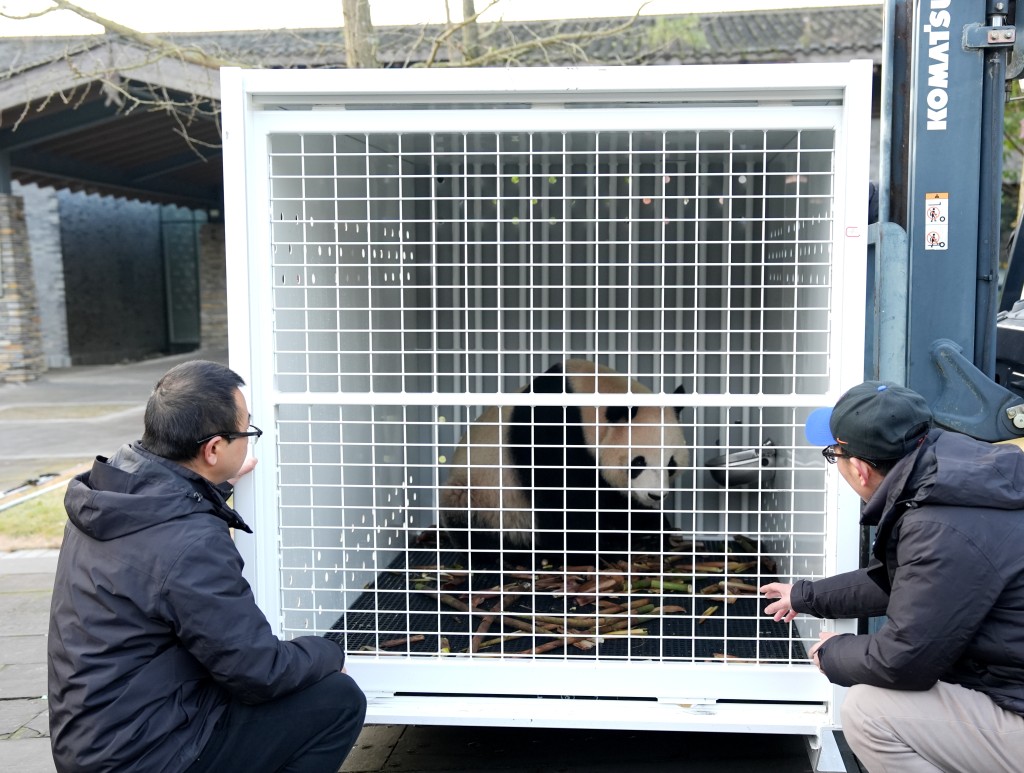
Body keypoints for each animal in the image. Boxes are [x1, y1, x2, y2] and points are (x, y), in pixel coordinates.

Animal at [438, 360, 688, 565]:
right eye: (638, 463)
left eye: (671, 464)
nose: (656, 496)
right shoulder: (550, 432)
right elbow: (564, 500)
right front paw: (600, 550)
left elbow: (612, 499)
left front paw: (653, 530)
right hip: (482, 497)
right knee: (471, 522)